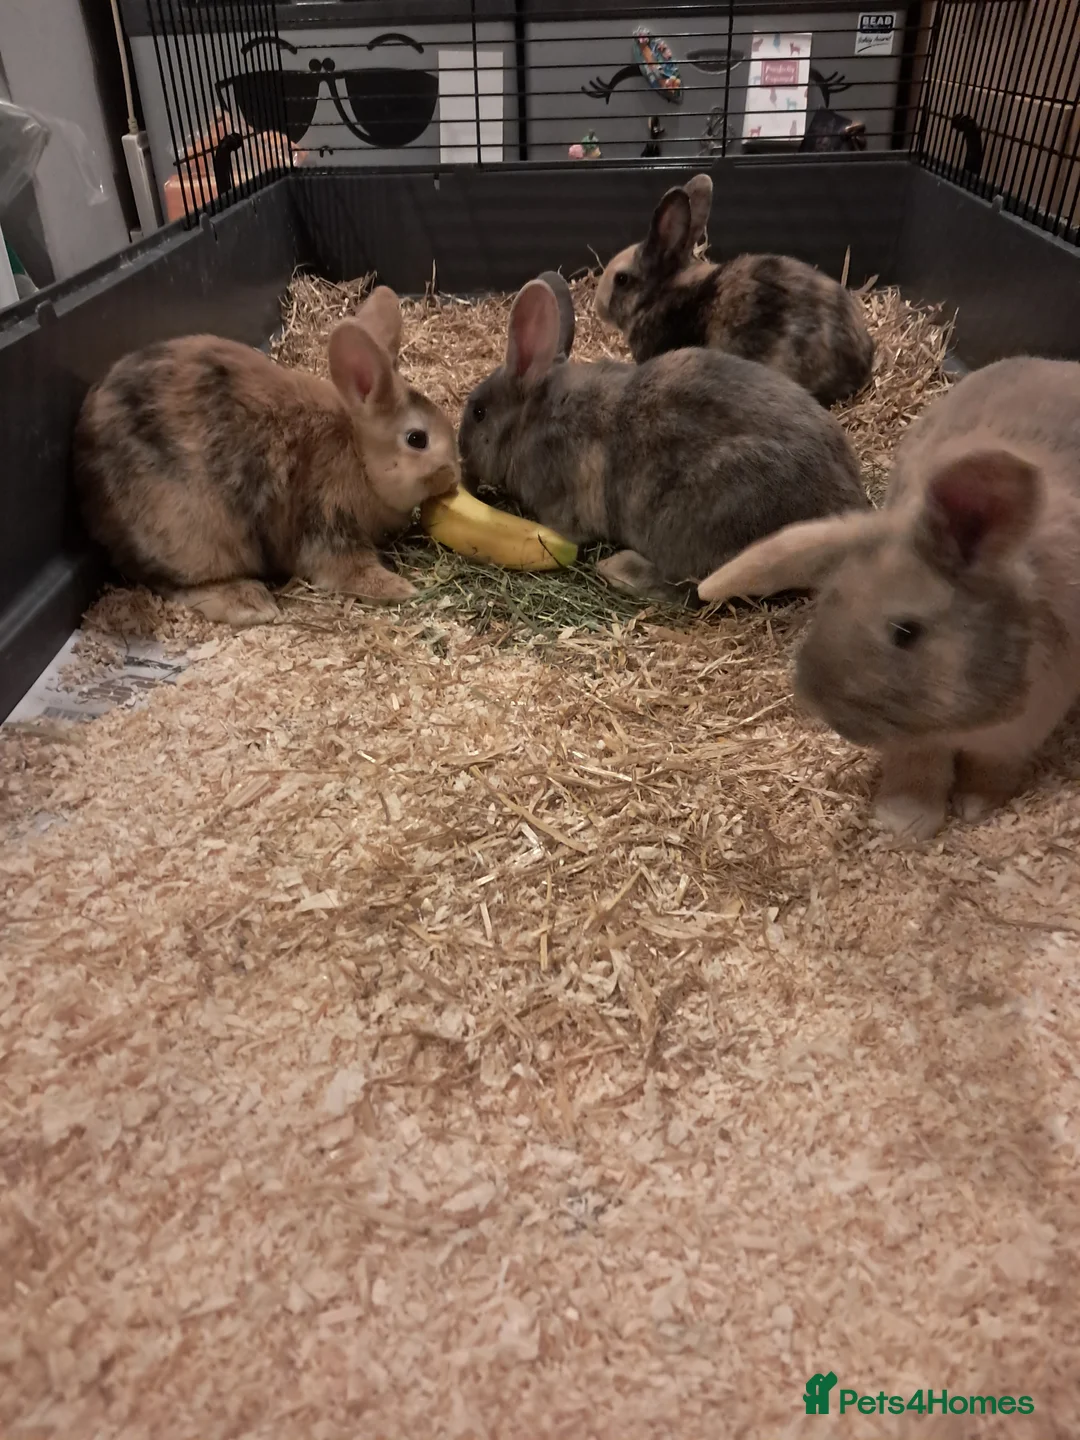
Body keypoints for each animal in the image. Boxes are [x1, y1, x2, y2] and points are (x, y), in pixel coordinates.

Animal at [73, 286, 459, 626]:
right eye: (417, 439)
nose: (454, 475)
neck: (357, 453)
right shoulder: (326, 523)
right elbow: (350, 568)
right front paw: (401, 589)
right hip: (193, 534)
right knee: (174, 583)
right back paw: (250, 604)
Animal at [696, 356, 1080, 841]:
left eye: (905, 632)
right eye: (830, 598)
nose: (817, 700)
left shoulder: (1020, 733)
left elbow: (991, 768)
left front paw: (976, 805)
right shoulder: (916, 742)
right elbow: (916, 765)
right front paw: (905, 818)